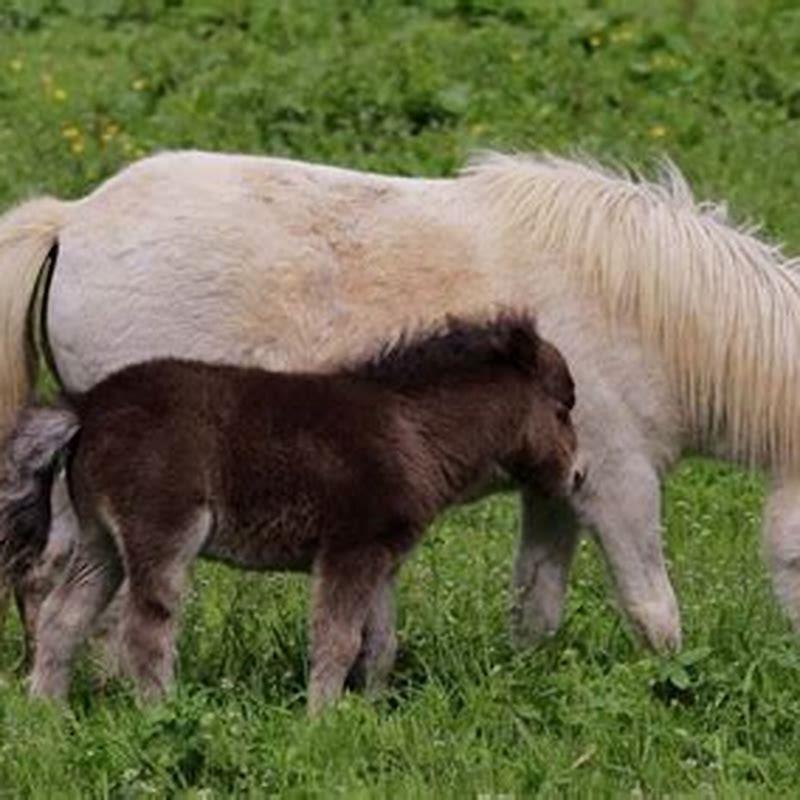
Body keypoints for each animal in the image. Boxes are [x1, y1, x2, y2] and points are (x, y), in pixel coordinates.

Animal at [1, 148, 800, 648]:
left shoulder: (558, 488)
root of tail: (74, 219)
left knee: (53, 577)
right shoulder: (617, 480)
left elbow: (536, 608)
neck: (638, 308)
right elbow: (655, 611)